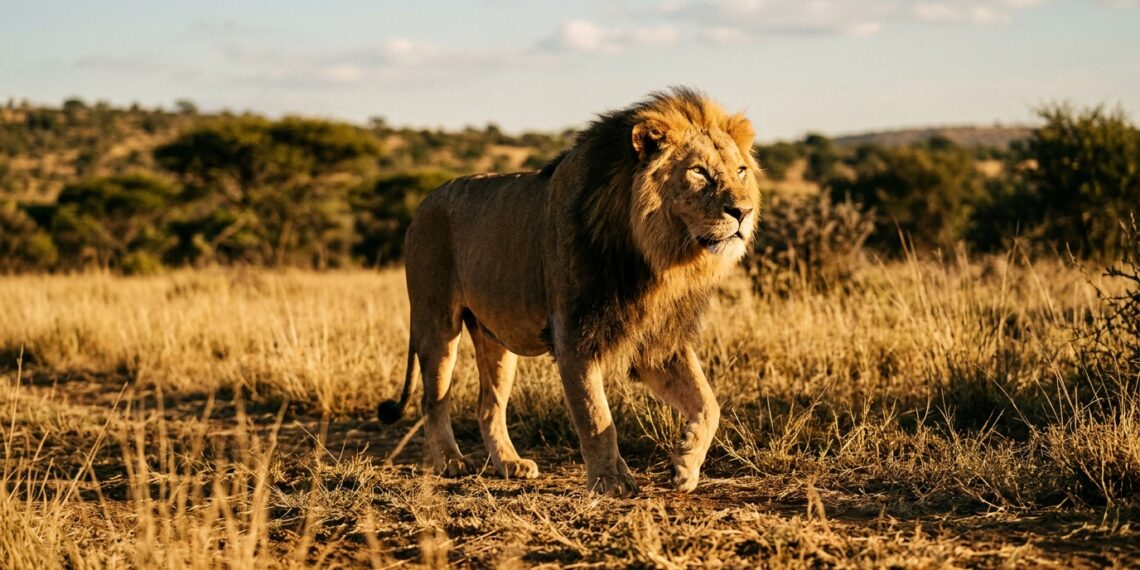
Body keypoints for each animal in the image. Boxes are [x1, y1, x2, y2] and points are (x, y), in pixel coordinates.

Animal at [377, 88, 761, 496]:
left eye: (741, 171)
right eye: (699, 172)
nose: (743, 211)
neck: (656, 258)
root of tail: (423, 202)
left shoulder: (658, 340)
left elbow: (708, 403)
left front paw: (685, 465)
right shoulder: (575, 334)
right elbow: (595, 415)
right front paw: (611, 481)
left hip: (495, 338)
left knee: (488, 405)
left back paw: (510, 464)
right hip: (437, 323)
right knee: (433, 399)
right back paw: (450, 462)